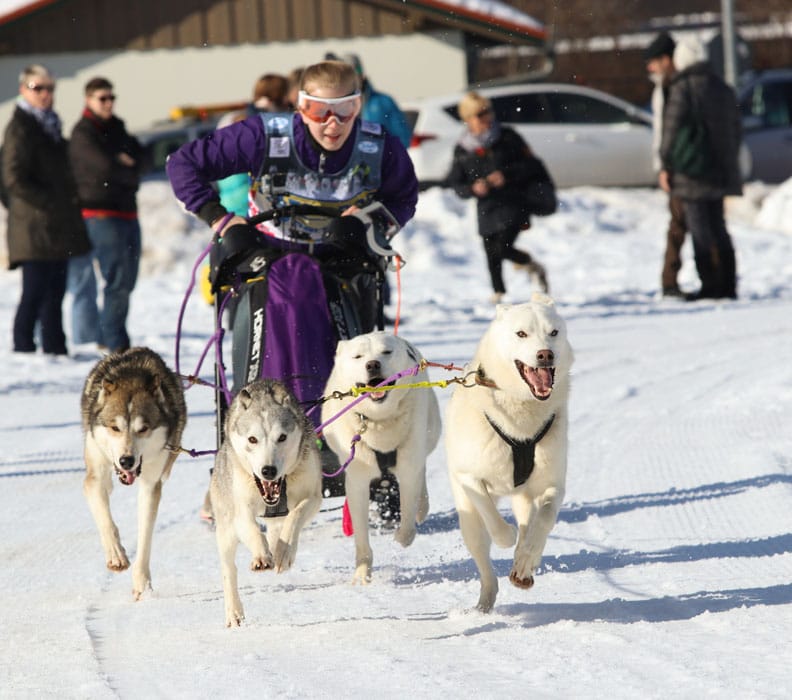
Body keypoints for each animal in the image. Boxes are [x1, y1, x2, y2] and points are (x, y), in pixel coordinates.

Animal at [81, 348, 186, 600]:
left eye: (143, 429)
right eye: (115, 427)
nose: (126, 461)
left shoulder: (151, 485)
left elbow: (145, 535)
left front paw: (142, 583)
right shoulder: (94, 477)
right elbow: (105, 519)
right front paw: (116, 555)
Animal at [212, 380, 324, 628]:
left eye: (281, 437)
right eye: (252, 439)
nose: (268, 470)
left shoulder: (313, 497)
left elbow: (294, 518)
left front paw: (284, 551)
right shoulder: (241, 511)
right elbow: (254, 531)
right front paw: (262, 556)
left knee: (278, 528)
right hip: (225, 530)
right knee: (228, 570)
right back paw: (234, 612)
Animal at [324, 330, 446, 584]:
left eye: (386, 352)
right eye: (358, 356)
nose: (372, 364)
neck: (379, 421)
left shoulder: (408, 469)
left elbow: (408, 520)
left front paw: (402, 537)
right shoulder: (357, 481)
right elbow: (361, 538)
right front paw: (362, 574)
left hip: (427, 437)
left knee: (422, 475)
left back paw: (422, 507)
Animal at [446, 296, 568, 612]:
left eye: (553, 332)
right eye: (521, 334)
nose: (545, 355)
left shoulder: (553, 484)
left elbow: (544, 521)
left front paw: (527, 558)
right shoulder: (469, 477)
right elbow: (492, 518)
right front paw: (506, 535)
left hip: (524, 496)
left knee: (529, 523)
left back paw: (523, 566)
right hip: (469, 520)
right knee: (485, 560)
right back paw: (485, 602)